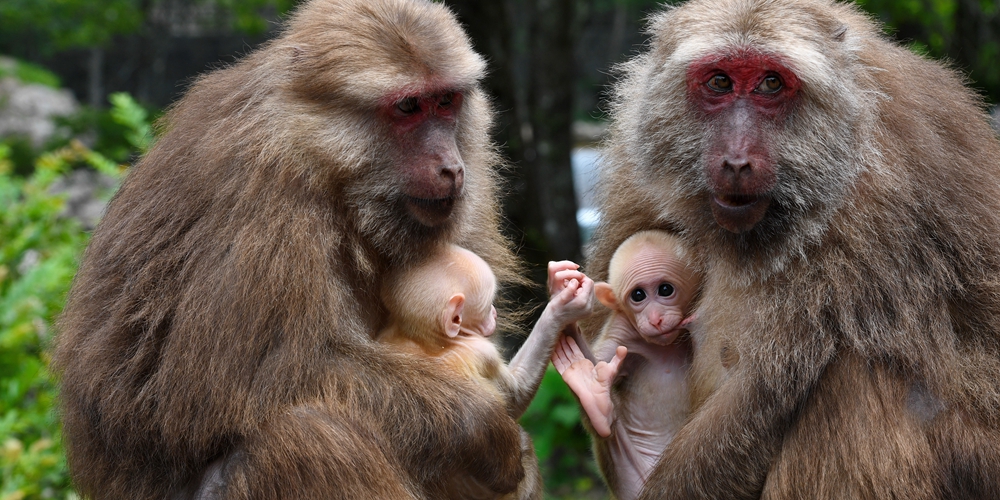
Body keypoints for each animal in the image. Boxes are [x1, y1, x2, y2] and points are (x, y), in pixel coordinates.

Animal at [376, 244, 592, 498]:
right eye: (488, 305)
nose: (495, 312)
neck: (429, 340)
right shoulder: (482, 351)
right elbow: (514, 399)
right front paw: (560, 309)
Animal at [552, 230, 700, 500]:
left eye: (665, 290)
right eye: (638, 295)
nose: (655, 319)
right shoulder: (623, 332)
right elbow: (600, 358)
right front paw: (562, 298)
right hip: (631, 480)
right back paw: (597, 404)